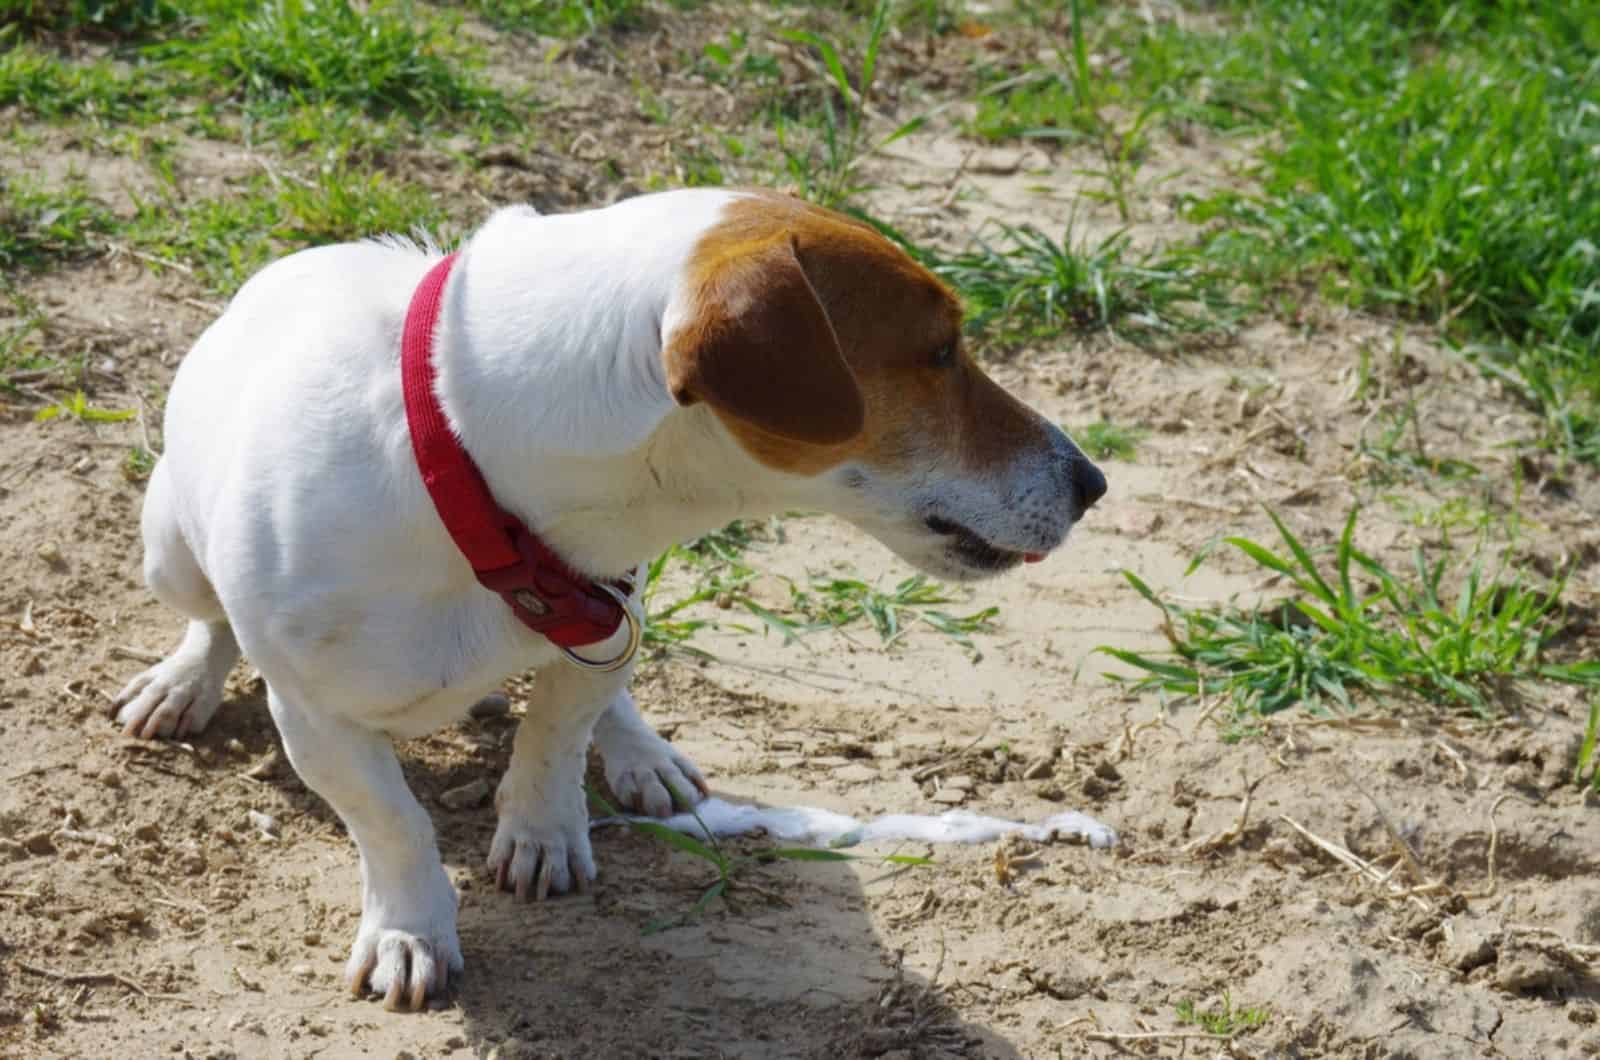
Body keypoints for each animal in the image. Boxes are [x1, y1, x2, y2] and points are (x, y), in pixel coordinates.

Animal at [112, 188, 1107, 1011]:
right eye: (937, 353)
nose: (1093, 483)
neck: (465, 468)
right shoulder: (316, 717)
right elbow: (392, 822)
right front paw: (409, 931)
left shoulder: (601, 615)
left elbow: (555, 735)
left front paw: (542, 832)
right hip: (168, 548)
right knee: (207, 619)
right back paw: (184, 682)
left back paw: (642, 754)